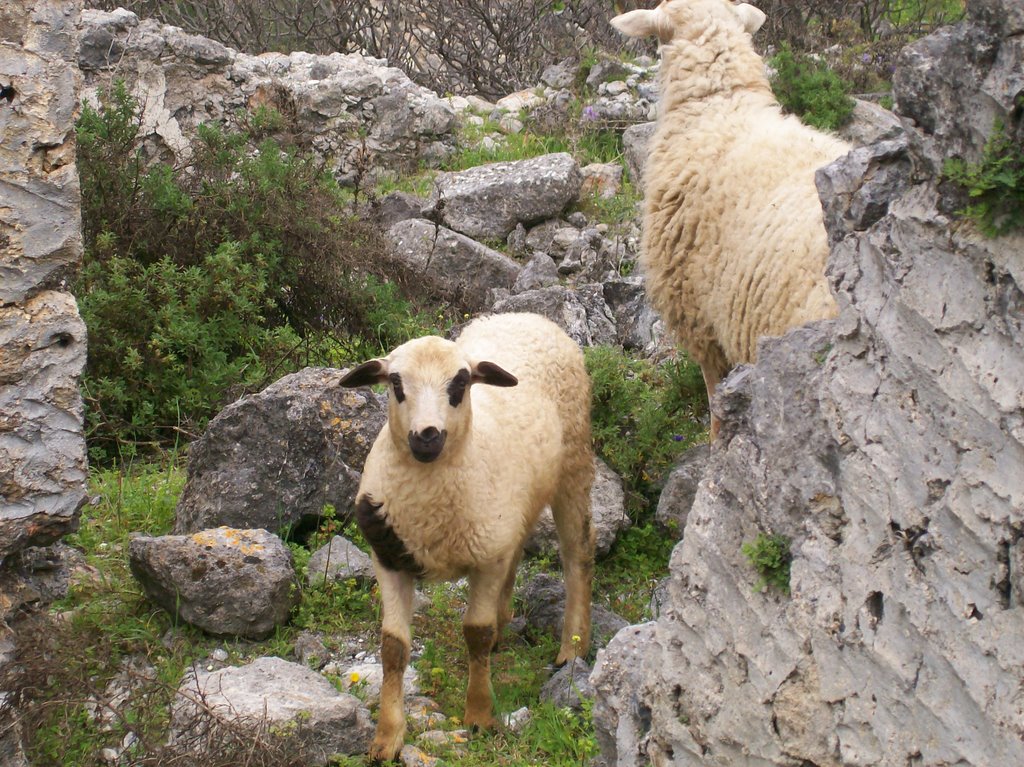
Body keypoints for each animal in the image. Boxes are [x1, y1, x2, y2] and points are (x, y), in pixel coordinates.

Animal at [337, 311, 593, 761]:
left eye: (460, 383)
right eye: (396, 383)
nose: (427, 435)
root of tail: (525, 316)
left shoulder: (485, 560)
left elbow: (476, 633)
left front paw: (478, 715)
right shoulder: (389, 557)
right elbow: (393, 647)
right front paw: (387, 738)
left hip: (573, 464)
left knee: (577, 554)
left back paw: (573, 647)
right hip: (513, 510)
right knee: (517, 550)